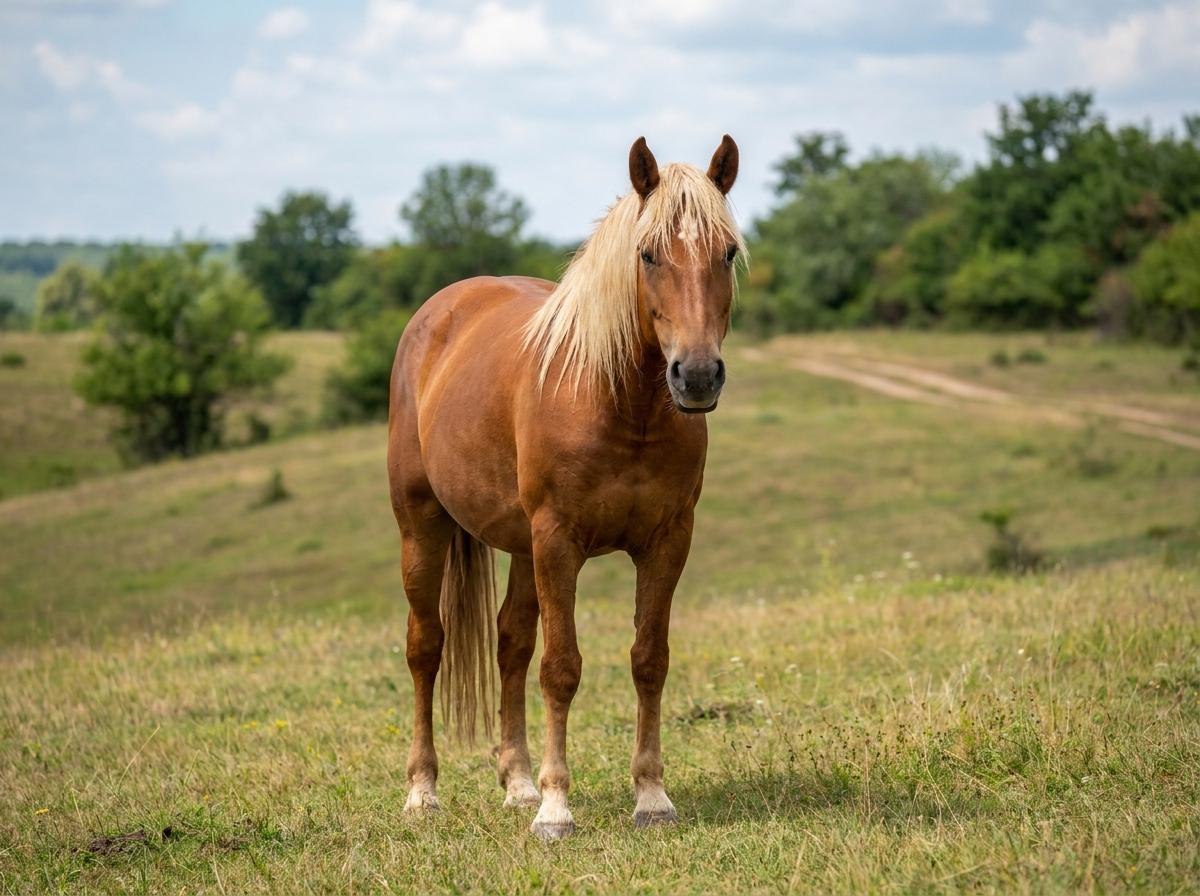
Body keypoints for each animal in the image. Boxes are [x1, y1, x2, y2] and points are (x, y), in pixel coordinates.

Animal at [387, 135, 744, 840]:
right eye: (648, 253)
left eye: (727, 251)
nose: (696, 376)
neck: (619, 405)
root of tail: (438, 312)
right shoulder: (559, 542)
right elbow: (562, 668)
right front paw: (556, 809)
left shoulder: (667, 541)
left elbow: (648, 659)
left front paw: (651, 797)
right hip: (424, 528)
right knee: (425, 647)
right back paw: (423, 791)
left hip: (520, 547)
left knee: (510, 643)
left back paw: (517, 783)